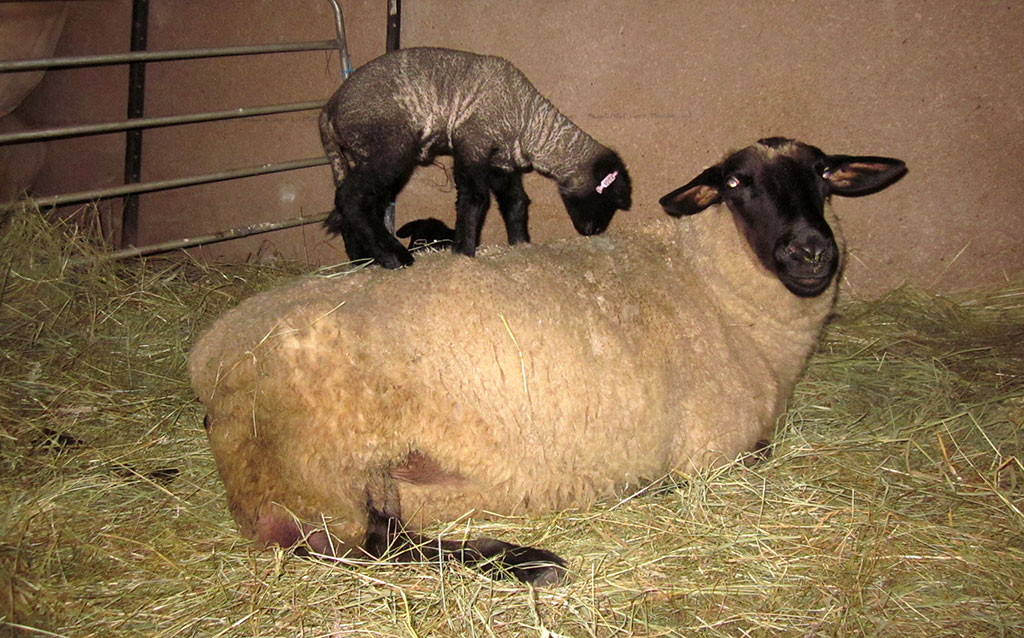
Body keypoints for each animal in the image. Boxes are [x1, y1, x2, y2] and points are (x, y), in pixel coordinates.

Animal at [190, 138, 906, 585]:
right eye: (735, 184)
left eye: (822, 174)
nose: (811, 251)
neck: (707, 285)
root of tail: (212, 354)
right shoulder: (715, 447)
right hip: (323, 471)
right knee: (375, 544)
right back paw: (527, 560)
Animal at [318, 47, 632, 268]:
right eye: (609, 198)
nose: (594, 231)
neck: (529, 120)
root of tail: (329, 110)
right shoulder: (473, 143)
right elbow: (474, 199)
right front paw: (463, 252)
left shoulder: (500, 161)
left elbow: (515, 202)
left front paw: (520, 244)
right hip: (391, 147)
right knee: (352, 197)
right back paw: (395, 259)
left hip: (366, 155)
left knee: (355, 202)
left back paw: (364, 261)